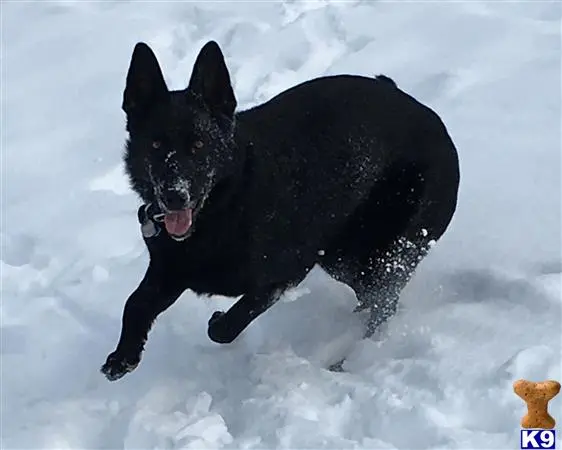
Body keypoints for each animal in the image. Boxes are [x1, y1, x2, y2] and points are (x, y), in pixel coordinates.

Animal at [100, 40, 458, 382]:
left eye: (199, 145)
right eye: (155, 145)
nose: (175, 196)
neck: (227, 204)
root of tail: (428, 115)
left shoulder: (285, 273)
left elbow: (229, 325)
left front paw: (217, 321)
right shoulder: (170, 270)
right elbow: (135, 303)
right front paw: (124, 356)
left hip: (387, 254)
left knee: (384, 302)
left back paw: (351, 359)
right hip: (344, 258)